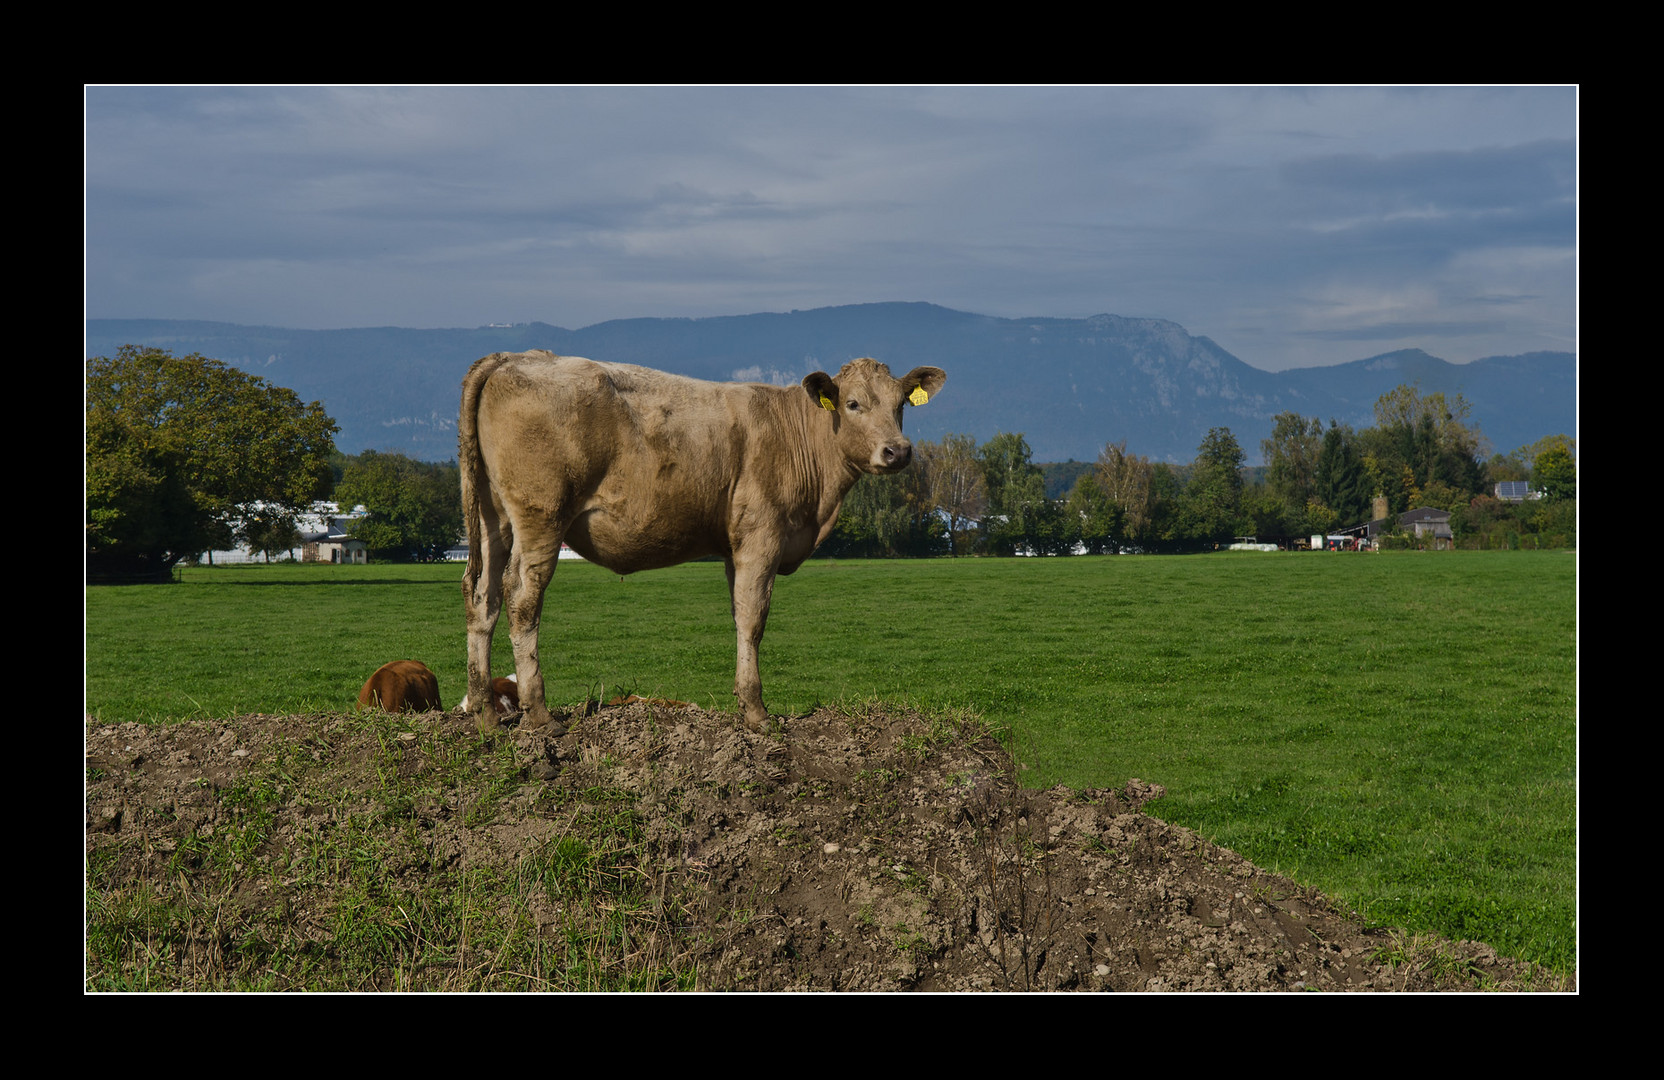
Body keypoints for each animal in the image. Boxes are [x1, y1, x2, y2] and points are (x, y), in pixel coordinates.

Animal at [462, 351, 945, 732]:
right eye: (853, 403)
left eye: (901, 404)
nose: (898, 451)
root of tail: (515, 357)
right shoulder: (762, 536)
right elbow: (753, 619)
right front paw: (757, 712)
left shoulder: (736, 547)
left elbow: (738, 613)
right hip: (541, 516)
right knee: (522, 598)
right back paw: (540, 715)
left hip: (493, 521)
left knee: (483, 598)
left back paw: (486, 715)